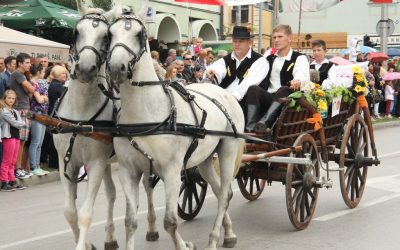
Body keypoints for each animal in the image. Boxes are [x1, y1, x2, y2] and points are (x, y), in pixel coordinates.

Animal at [52, 2, 117, 249]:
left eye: (106, 36)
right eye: (76, 32)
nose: (86, 69)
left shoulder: (96, 161)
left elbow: (86, 213)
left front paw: (83, 244)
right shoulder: (66, 162)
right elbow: (70, 212)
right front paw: (87, 243)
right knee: (112, 194)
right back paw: (110, 238)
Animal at [106, 3, 244, 250]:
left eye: (139, 35)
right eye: (110, 34)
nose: (116, 68)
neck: (146, 114)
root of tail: (223, 93)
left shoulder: (171, 171)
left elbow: (170, 221)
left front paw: (184, 244)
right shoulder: (128, 171)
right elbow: (130, 221)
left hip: (228, 150)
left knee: (225, 193)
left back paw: (214, 238)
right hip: (204, 160)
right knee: (220, 191)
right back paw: (228, 232)